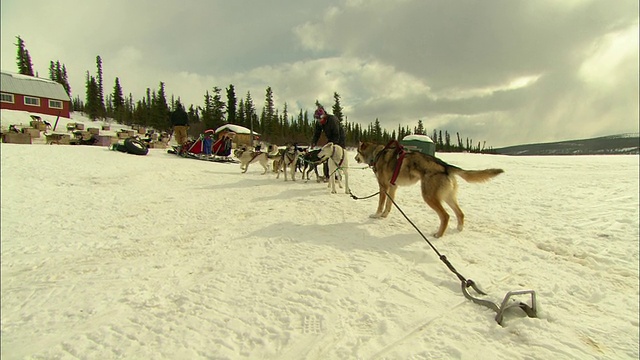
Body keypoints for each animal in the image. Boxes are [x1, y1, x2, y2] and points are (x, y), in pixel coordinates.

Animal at [356, 141, 504, 239]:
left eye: (357, 151)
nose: (354, 158)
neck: (377, 154)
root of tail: (446, 166)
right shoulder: (393, 187)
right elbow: (388, 205)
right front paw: (384, 215)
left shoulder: (383, 187)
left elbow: (381, 204)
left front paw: (376, 215)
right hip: (448, 197)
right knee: (460, 213)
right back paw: (459, 228)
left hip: (429, 197)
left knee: (445, 216)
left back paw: (438, 234)